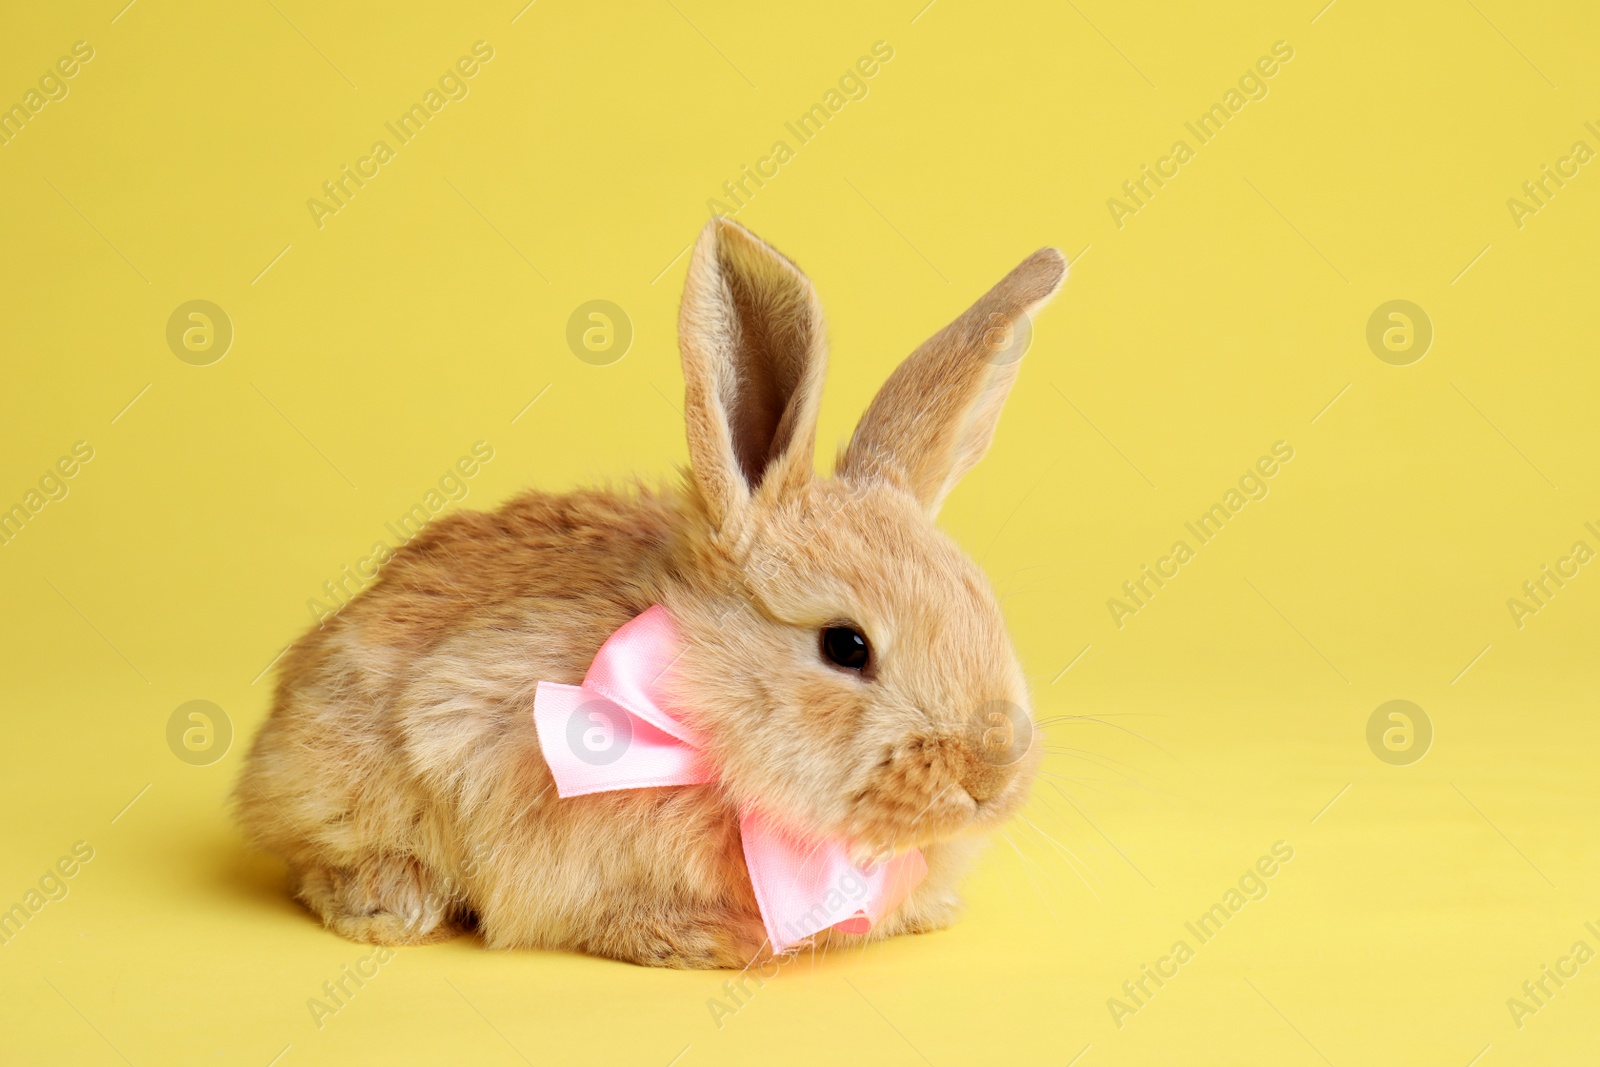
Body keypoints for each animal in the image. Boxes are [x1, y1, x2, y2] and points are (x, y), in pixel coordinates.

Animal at [232, 217, 1062, 966]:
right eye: (845, 645)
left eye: (982, 603)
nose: (993, 775)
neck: (702, 699)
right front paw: (707, 942)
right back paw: (393, 906)